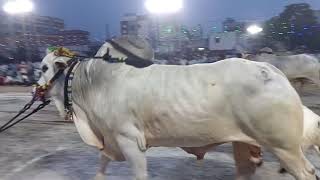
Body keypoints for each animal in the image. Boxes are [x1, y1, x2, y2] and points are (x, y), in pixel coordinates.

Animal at [37, 47, 316, 179]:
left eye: (43, 67)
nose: (37, 89)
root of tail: (268, 68)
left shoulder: (129, 140)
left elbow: (139, 173)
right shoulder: (111, 139)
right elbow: (101, 167)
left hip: (284, 147)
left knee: (307, 172)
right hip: (245, 143)